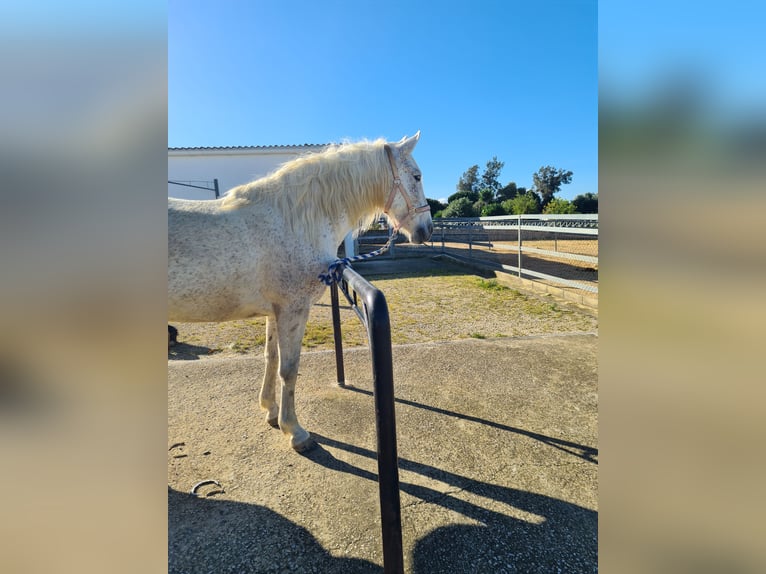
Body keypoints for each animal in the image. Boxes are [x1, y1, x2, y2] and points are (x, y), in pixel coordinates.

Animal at [170, 133, 432, 452]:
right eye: (417, 176)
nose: (427, 230)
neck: (296, 220)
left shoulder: (275, 312)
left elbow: (271, 358)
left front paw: (270, 410)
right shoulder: (293, 309)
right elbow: (289, 368)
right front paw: (294, 430)